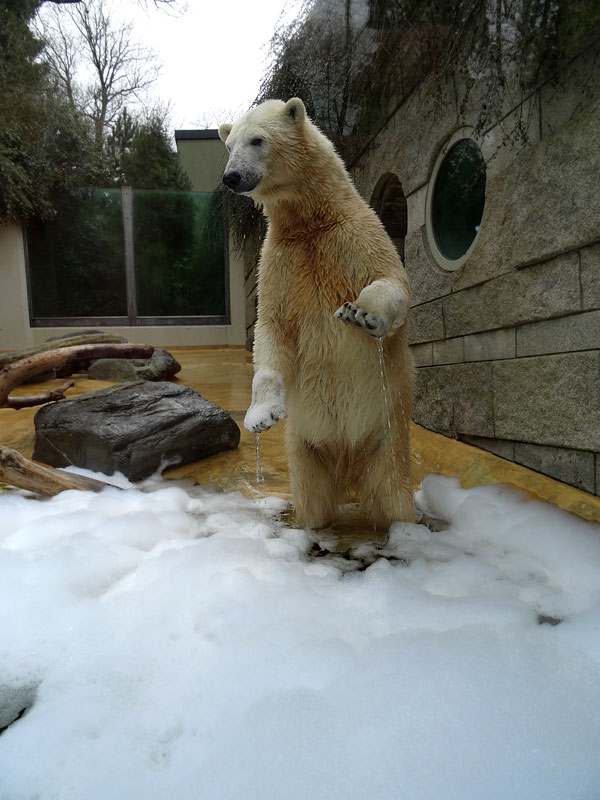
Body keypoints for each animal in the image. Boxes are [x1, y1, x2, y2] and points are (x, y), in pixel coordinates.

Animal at [219, 98, 412, 524]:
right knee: (312, 493)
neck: (312, 220)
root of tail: (349, 468)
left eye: (257, 140)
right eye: (230, 145)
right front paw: (261, 415)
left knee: (393, 493)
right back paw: (305, 520)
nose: (231, 177)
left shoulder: (355, 234)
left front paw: (362, 314)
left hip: (387, 436)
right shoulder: (280, 259)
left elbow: (393, 281)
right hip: (305, 446)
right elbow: (271, 325)